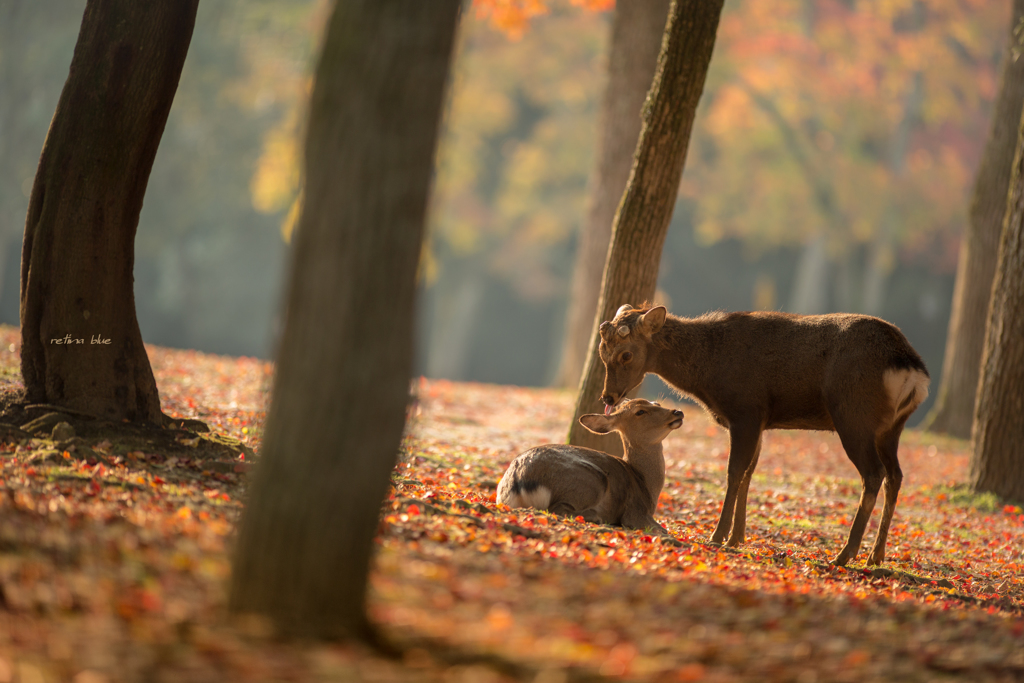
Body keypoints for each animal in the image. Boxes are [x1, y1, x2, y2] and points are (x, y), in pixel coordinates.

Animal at [495, 397, 679, 536]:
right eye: (640, 411)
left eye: (657, 403)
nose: (677, 412)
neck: (645, 485)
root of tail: (518, 482)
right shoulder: (636, 512)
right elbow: (662, 529)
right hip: (592, 481)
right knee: (557, 508)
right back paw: (595, 516)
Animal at [598, 305, 933, 565]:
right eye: (602, 353)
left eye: (626, 355)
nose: (608, 396)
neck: (708, 374)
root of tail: (912, 368)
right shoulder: (760, 421)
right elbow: (749, 472)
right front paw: (737, 537)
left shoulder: (745, 410)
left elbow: (734, 472)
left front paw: (718, 535)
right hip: (891, 429)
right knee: (896, 476)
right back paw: (876, 555)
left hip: (854, 416)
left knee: (873, 474)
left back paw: (845, 554)